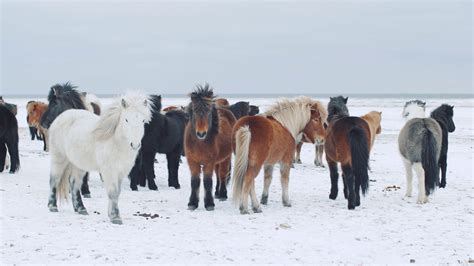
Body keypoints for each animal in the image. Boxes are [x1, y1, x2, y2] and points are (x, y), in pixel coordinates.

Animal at [47, 92, 151, 223]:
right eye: (126, 120)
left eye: (143, 121)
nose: (135, 145)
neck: (115, 142)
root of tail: (61, 117)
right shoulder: (109, 171)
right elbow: (113, 192)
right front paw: (115, 217)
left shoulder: (121, 172)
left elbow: (117, 193)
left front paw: (111, 214)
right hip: (59, 158)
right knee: (54, 180)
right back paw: (52, 206)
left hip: (79, 164)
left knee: (74, 183)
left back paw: (81, 209)